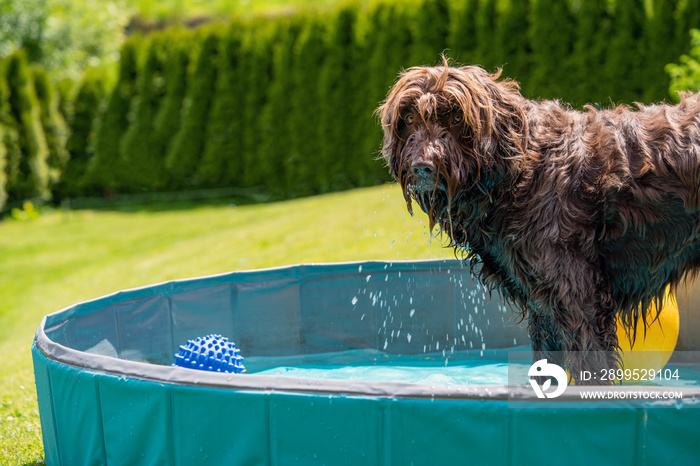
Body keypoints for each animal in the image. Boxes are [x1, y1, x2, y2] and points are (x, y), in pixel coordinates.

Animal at [380, 60, 700, 384]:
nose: (422, 167)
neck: (517, 173)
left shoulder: (577, 294)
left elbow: (590, 361)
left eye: (458, 117)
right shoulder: (542, 301)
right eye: (409, 118)